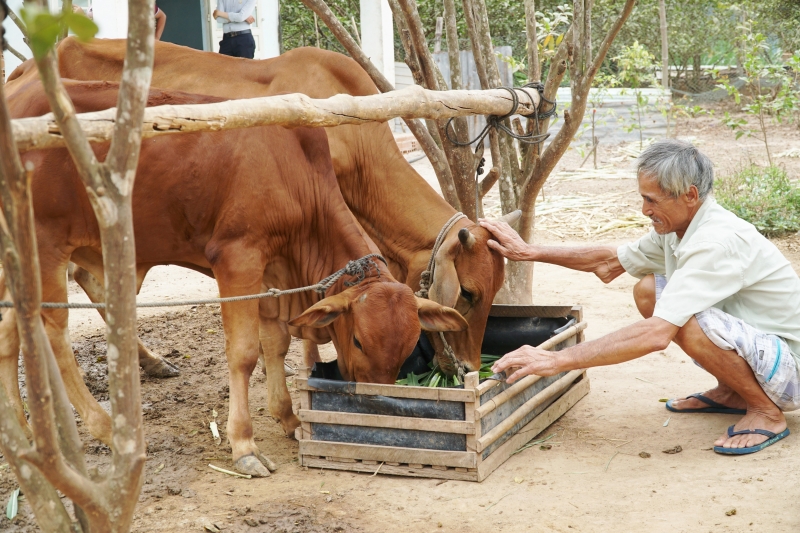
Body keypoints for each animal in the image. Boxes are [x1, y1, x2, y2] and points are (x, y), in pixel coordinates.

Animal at [3, 78, 468, 474]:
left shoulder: (271, 272)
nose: (375, 411)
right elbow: (244, 354)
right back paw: (102, 427)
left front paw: (288, 417)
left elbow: (275, 343)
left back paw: (23, 433)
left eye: (408, 347)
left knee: (12, 328)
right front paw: (244, 445)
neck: (295, 174)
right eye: (356, 340)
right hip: (45, 241)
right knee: (53, 330)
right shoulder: (237, 259)